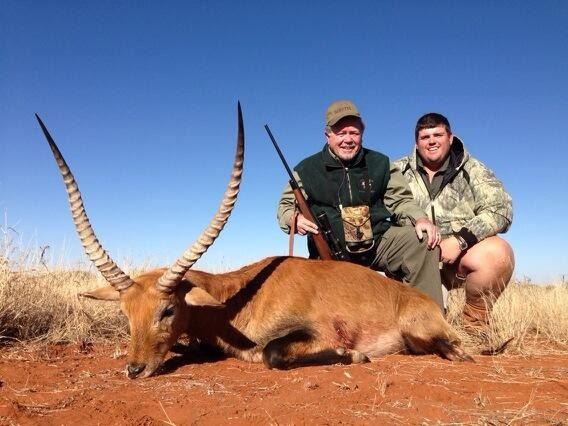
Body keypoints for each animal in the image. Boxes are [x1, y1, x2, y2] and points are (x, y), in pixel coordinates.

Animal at [36, 103, 472, 379]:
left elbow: (272, 353)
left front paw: (354, 354)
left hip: (425, 333)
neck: (236, 299)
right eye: (126, 314)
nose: (134, 369)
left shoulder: (308, 334)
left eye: (167, 310)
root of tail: (419, 300)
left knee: (454, 350)